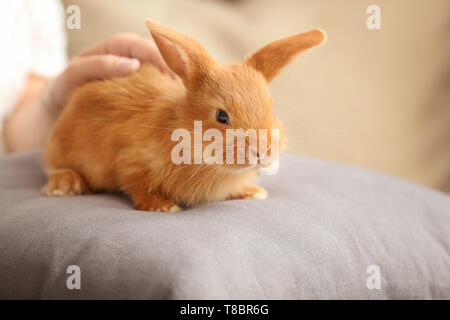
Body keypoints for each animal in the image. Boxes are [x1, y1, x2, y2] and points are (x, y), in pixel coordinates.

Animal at [41, 19, 324, 210]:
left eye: (271, 106)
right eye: (222, 116)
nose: (263, 151)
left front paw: (252, 192)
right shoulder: (132, 162)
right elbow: (138, 187)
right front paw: (162, 206)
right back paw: (64, 186)